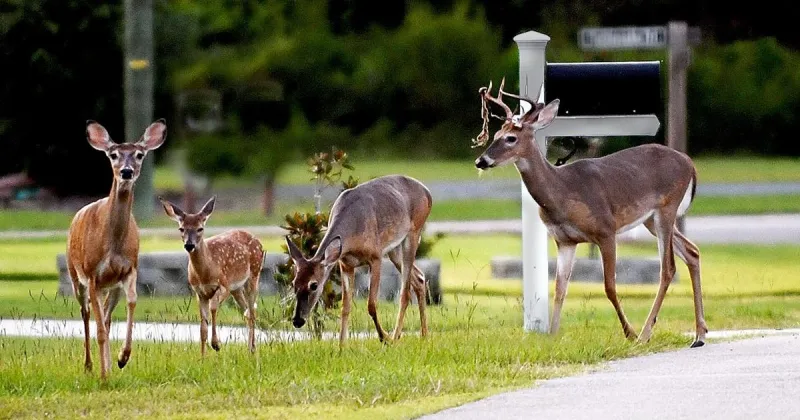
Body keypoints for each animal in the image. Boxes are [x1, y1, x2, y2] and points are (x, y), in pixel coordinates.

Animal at [66, 119, 167, 380]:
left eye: (140, 154)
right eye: (113, 155)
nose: (126, 171)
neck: (112, 244)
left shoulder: (129, 269)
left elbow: (132, 302)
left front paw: (123, 358)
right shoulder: (92, 273)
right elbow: (99, 330)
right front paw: (103, 375)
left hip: (110, 287)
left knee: (107, 317)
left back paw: (109, 365)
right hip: (76, 276)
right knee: (86, 314)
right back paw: (90, 366)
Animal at [159, 195, 264, 355]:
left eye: (200, 228)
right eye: (181, 228)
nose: (189, 245)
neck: (205, 274)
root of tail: (257, 240)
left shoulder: (223, 285)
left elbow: (213, 308)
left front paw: (216, 344)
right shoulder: (199, 293)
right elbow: (202, 326)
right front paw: (202, 356)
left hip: (254, 275)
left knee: (252, 312)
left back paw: (253, 350)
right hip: (236, 288)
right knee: (246, 312)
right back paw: (249, 348)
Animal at [284, 174, 432, 347]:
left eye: (314, 285)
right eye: (294, 283)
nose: (297, 320)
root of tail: (427, 192)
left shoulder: (375, 257)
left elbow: (371, 305)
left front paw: (384, 338)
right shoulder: (345, 264)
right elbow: (345, 307)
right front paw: (341, 346)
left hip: (413, 233)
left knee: (405, 291)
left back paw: (395, 337)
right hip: (394, 250)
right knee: (419, 278)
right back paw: (424, 335)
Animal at [472, 79, 708, 348]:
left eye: (511, 138)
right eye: (495, 135)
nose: (481, 161)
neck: (561, 193)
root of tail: (690, 164)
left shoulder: (606, 230)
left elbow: (609, 286)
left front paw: (629, 333)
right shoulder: (565, 240)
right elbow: (560, 288)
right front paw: (552, 335)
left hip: (666, 208)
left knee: (668, 268)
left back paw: (645, 333)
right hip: (649, 219)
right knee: (692, 251)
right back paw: (699, 334)